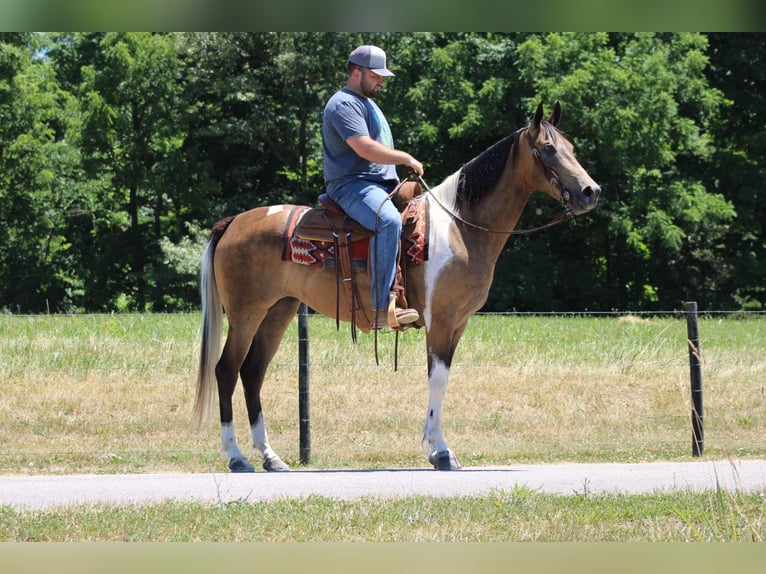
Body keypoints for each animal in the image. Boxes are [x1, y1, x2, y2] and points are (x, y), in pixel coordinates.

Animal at [192, 102, 600, 472]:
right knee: (226, 371)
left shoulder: (458, 322)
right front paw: (440, 451)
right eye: (548, 148)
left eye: (571, 147)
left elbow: (441, 379)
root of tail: (233, 222)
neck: (461, 226)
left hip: (278, 312)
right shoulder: (441, 320)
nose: (590, 191)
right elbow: (437, 381)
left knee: (252, 373)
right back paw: (237, 457)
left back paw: (270, 456)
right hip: (246, 315)